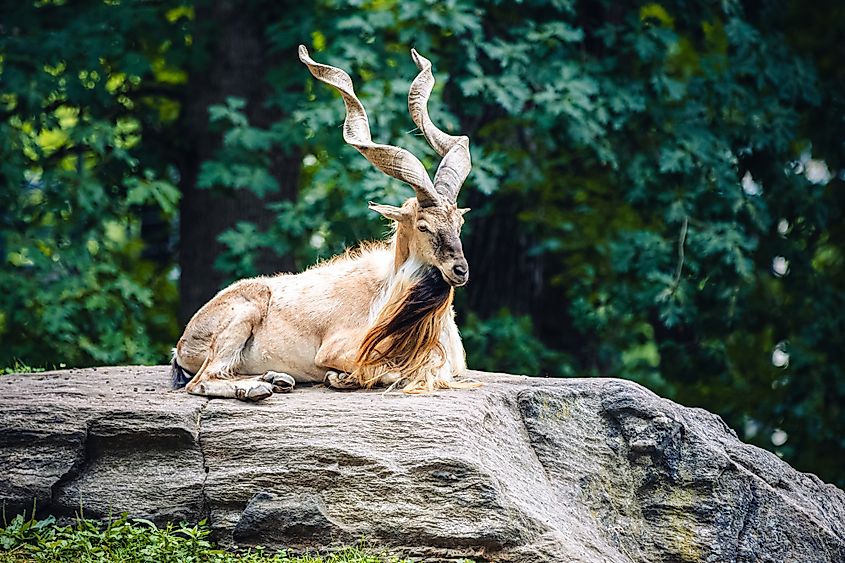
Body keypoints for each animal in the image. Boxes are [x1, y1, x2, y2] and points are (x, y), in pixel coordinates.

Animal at [171, 45, 476, 400]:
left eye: (459, 223)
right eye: (423, 226)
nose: (460, 270)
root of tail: (183, 342)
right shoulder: (340, 350)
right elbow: (387, 372)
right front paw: (340, 378)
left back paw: (277, 379)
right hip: (242, 316)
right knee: (201, 379)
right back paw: (257, 388)